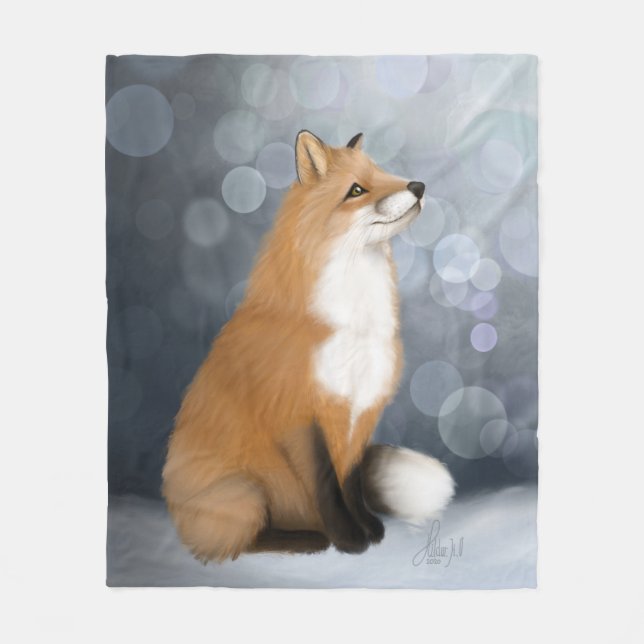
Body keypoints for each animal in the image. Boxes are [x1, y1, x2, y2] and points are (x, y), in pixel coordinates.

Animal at [162, 130, 455, 562]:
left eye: (382, 171)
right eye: (356, 190)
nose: (418, 187)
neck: (353, 325)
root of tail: (176, 512)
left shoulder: (359, 408)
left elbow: (350, 483)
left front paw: (368, 527)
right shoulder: (300, 411)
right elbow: (326, 486)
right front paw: (349, 540)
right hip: (245, 494)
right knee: (231, 544)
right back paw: (305, 540)